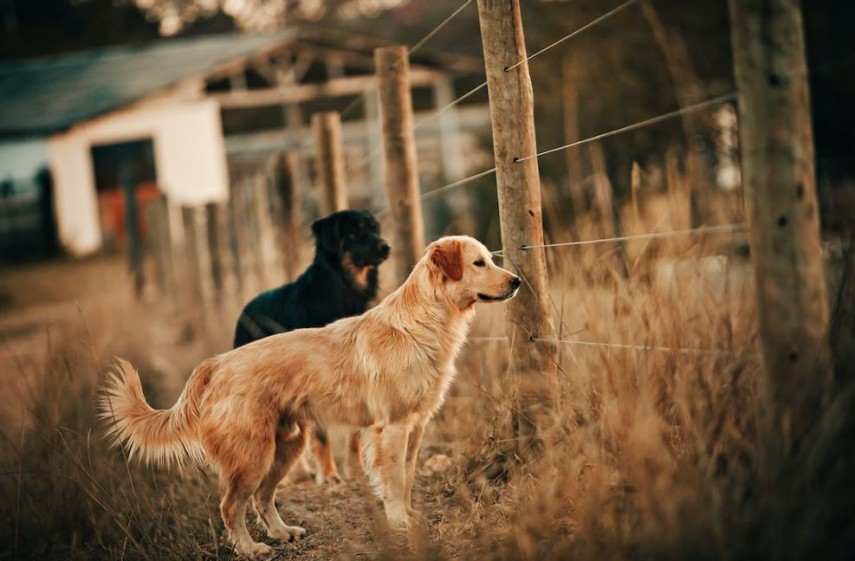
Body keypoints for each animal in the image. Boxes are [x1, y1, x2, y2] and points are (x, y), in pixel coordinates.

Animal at [232, 210, 390, 482]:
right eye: (354, 231)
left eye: (374, 228)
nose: (386, 246)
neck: (342, 291)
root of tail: (245, 310)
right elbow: (322, 434)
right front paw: (328, 474)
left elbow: (354, 433)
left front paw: (356, 470)